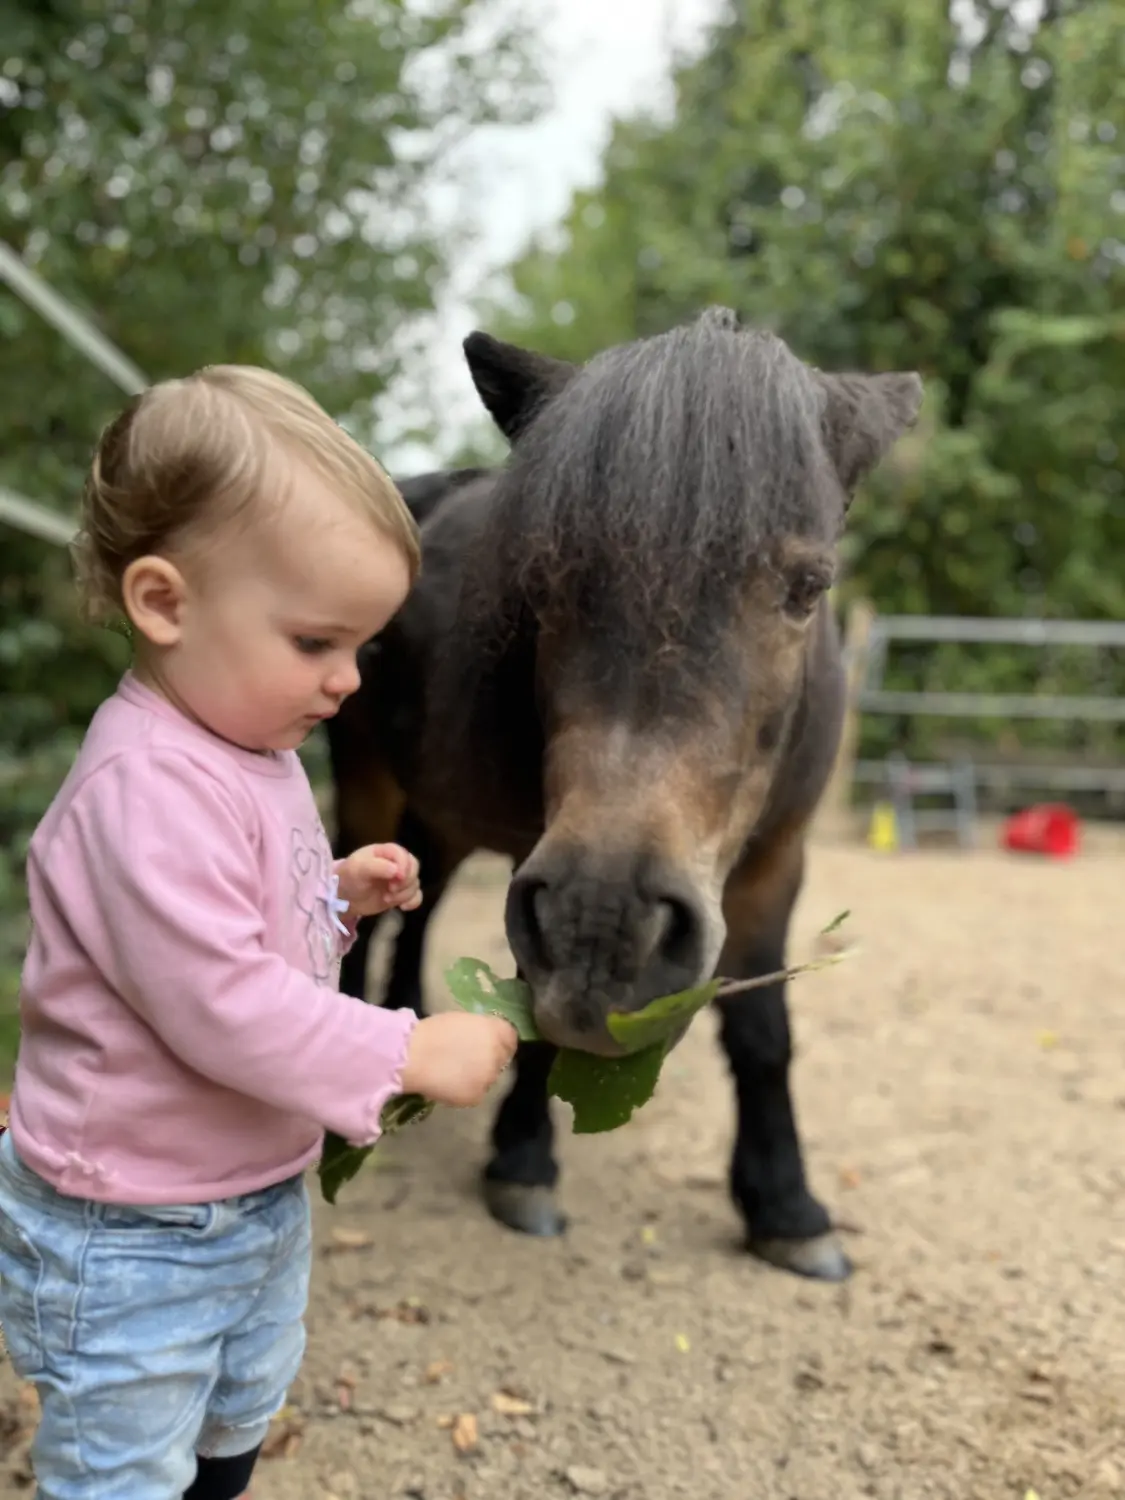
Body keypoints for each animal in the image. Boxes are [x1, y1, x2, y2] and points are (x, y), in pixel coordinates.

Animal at [326, 306, 923, 1282]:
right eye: (541, 580)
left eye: (807, 587)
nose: (607, 929)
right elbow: (537, 1012)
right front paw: (522, 1163)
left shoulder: (775, 864)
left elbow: (763, 1034)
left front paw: (786, 1207)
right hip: (368, 783)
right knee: (359, 922)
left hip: (440, 816)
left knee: (417, 914)